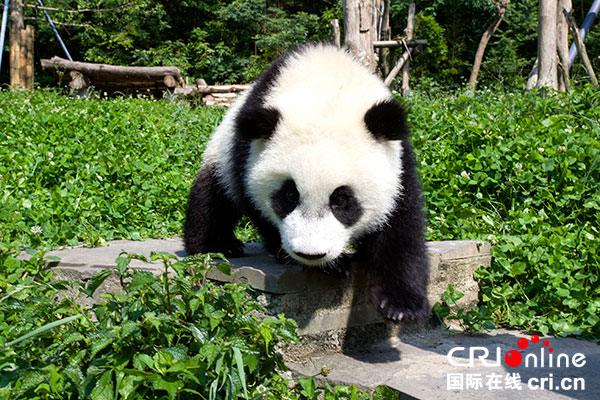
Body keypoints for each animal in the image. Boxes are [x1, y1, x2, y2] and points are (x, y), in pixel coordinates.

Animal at [185, 43, 428, 324]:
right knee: (213, 198)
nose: (311, 254)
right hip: (220, 152)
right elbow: (257, 208)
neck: (327, 90)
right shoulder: (245, 154)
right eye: (290, 195)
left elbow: (400, 226)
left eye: (341, 199)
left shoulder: (397, 161)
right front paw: (332, 265)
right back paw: (218, 245)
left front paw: (401, 306)